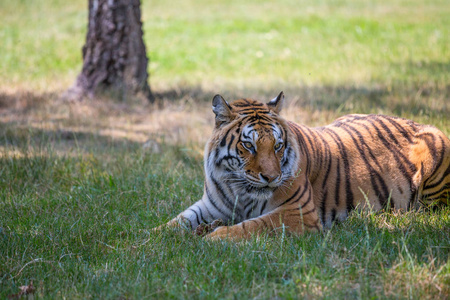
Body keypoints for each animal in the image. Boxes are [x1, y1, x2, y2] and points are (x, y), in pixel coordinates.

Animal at [156, 92, 450, 240]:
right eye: (249, 145)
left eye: (277, 145)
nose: (271, 177)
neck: (236, 186)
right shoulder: (210, 205)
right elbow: (176, 222)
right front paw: (150, 238)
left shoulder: (297, 213)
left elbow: (254, 225)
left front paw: (213, 237)